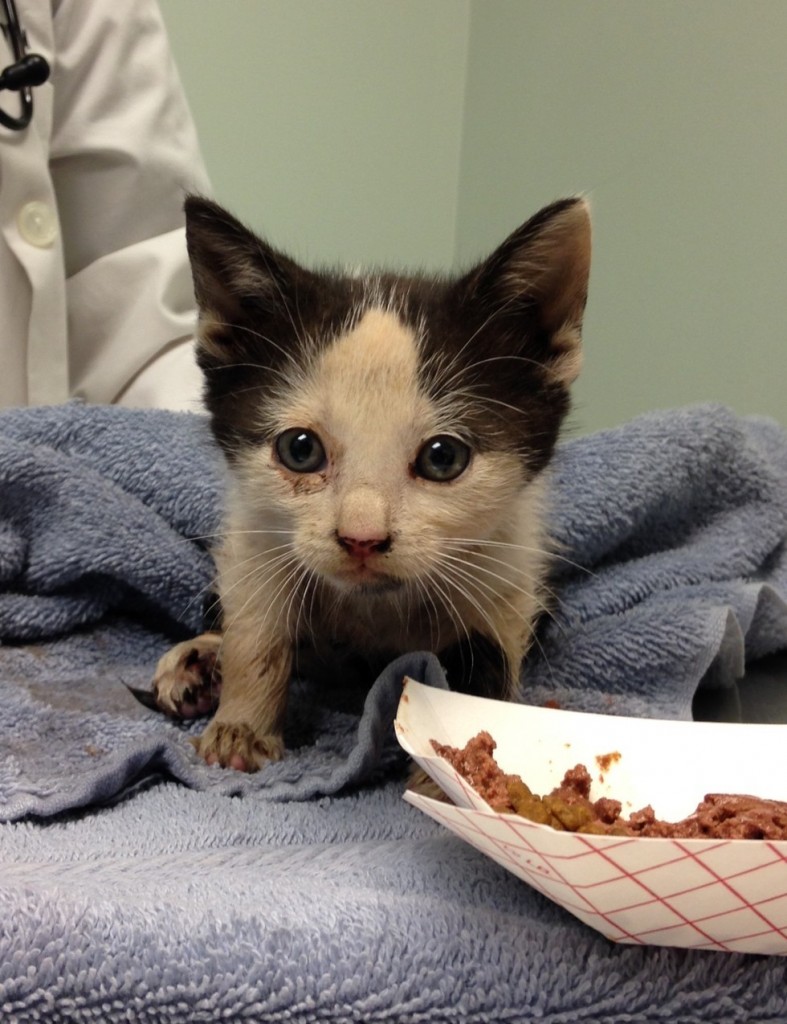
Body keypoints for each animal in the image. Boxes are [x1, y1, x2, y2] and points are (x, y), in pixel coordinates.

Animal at [151, 193, 589, 770]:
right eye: (300, 449)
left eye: (443, 458)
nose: (361, 539)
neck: (372, 611)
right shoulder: (255, 534)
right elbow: (257, 630)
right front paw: (239, 729)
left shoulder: (508, 564)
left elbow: (487, 669)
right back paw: (198, 659)